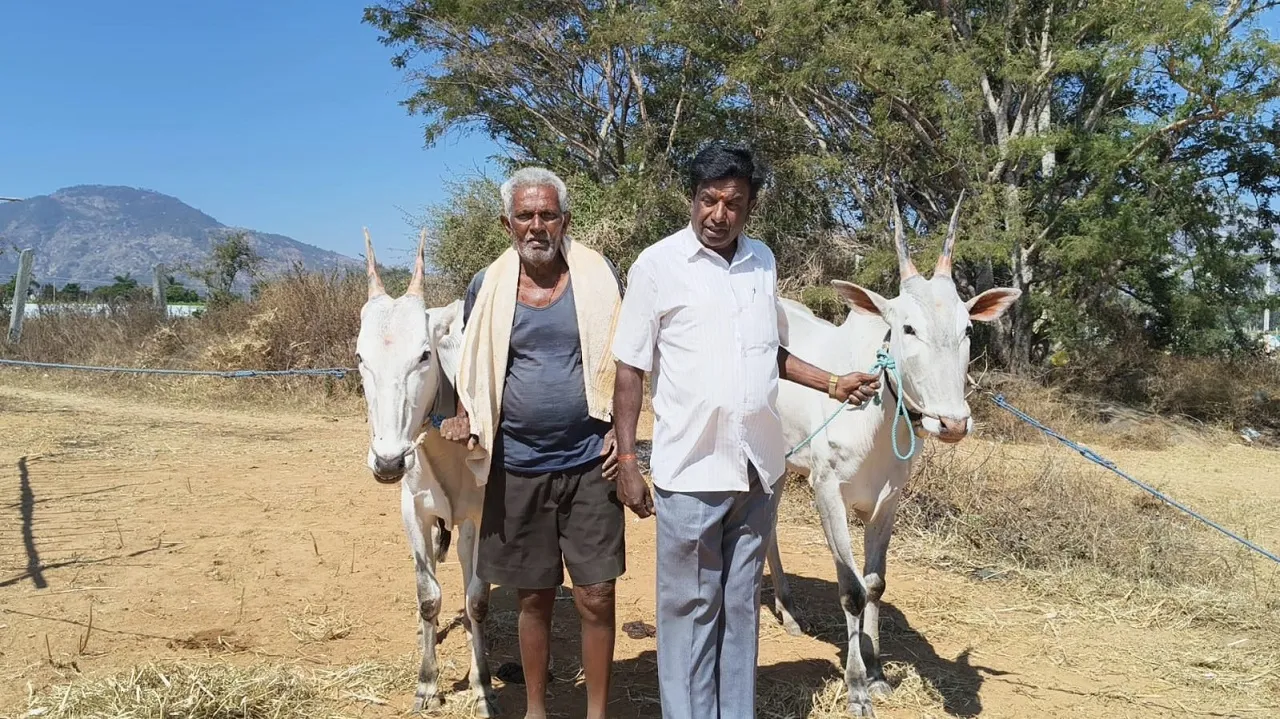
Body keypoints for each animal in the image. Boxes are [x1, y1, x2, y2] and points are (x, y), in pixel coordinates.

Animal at [355, 229, 498, 717]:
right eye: (359, 356)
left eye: (423, 355)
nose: (388, 462)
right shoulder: (413, 512)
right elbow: (428, 595)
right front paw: (427, 683)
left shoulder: (480, 516)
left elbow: (476, 599)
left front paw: (481, 683)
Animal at [766, 197, 1022, 716]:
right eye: (907, 327)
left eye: (968, 328)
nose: (952, 423)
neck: (878, 422)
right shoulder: (827, 491)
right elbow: (849, 589)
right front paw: (857, 687)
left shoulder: (888, 501)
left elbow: (875, 584)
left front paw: (879, 673)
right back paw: (786, 613)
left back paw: (788, 608)